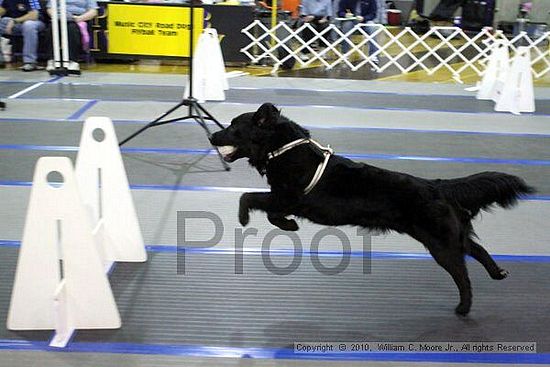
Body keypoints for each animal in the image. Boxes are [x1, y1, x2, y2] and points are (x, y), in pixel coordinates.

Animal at [210, 103, 536, 316]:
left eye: (233, 126)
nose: (212, 137)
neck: (284, 149)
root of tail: (438, 186)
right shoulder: (284, 199)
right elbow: (266, 208)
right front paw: (289, 225)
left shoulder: (286, 197)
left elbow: (248, 198)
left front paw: (252, 219)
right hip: (449, 235)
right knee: (477, 249)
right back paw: (498, 273)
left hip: (440, 243)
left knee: (463, 274)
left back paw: (464, 308)